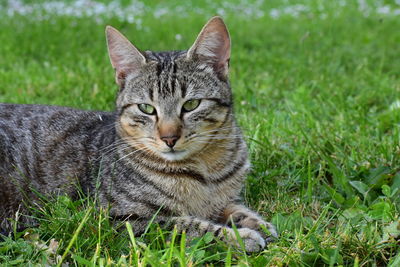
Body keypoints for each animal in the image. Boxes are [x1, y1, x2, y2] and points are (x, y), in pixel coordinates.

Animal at [0, 17, 276, 253]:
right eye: (146, 108)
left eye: (191, 104)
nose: (169, 138)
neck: (204, 170)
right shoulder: (120, 219)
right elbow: (187, 225)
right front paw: (238, 236)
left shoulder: (225, 199)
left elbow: (238, 209)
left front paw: (258, 225)